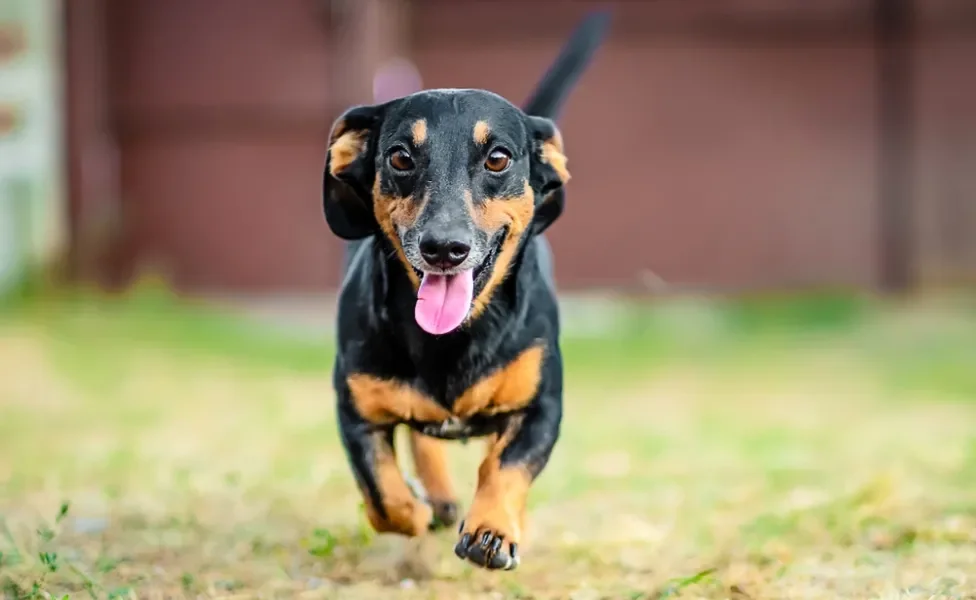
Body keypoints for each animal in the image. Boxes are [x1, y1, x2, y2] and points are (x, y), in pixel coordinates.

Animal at [320, 10, 608, 572]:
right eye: (400, 157)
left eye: (497, 158)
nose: (444, 248)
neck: (452, 339)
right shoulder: (355, 410)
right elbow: (381, 494)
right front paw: (413, 508)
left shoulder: (542, 408)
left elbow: (506, 466)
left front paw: (493, 529)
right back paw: (434, 497)